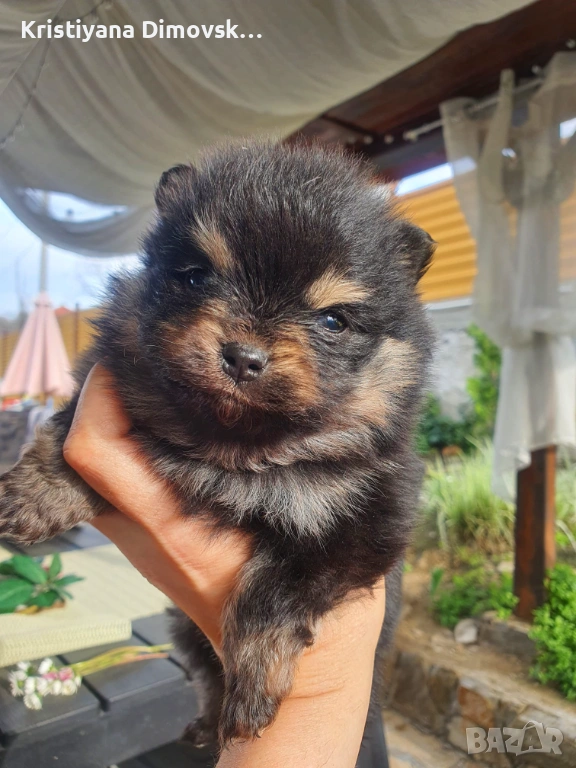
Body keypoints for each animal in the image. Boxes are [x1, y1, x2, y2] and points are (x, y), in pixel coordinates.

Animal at [0, 142, 434, 746]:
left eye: (333, 320)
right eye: (194, 277)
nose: (244, 357)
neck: (236, 449)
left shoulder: (364, 519)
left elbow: (275, 591)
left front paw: (253, 685)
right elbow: (65, 436)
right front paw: (37, 493)